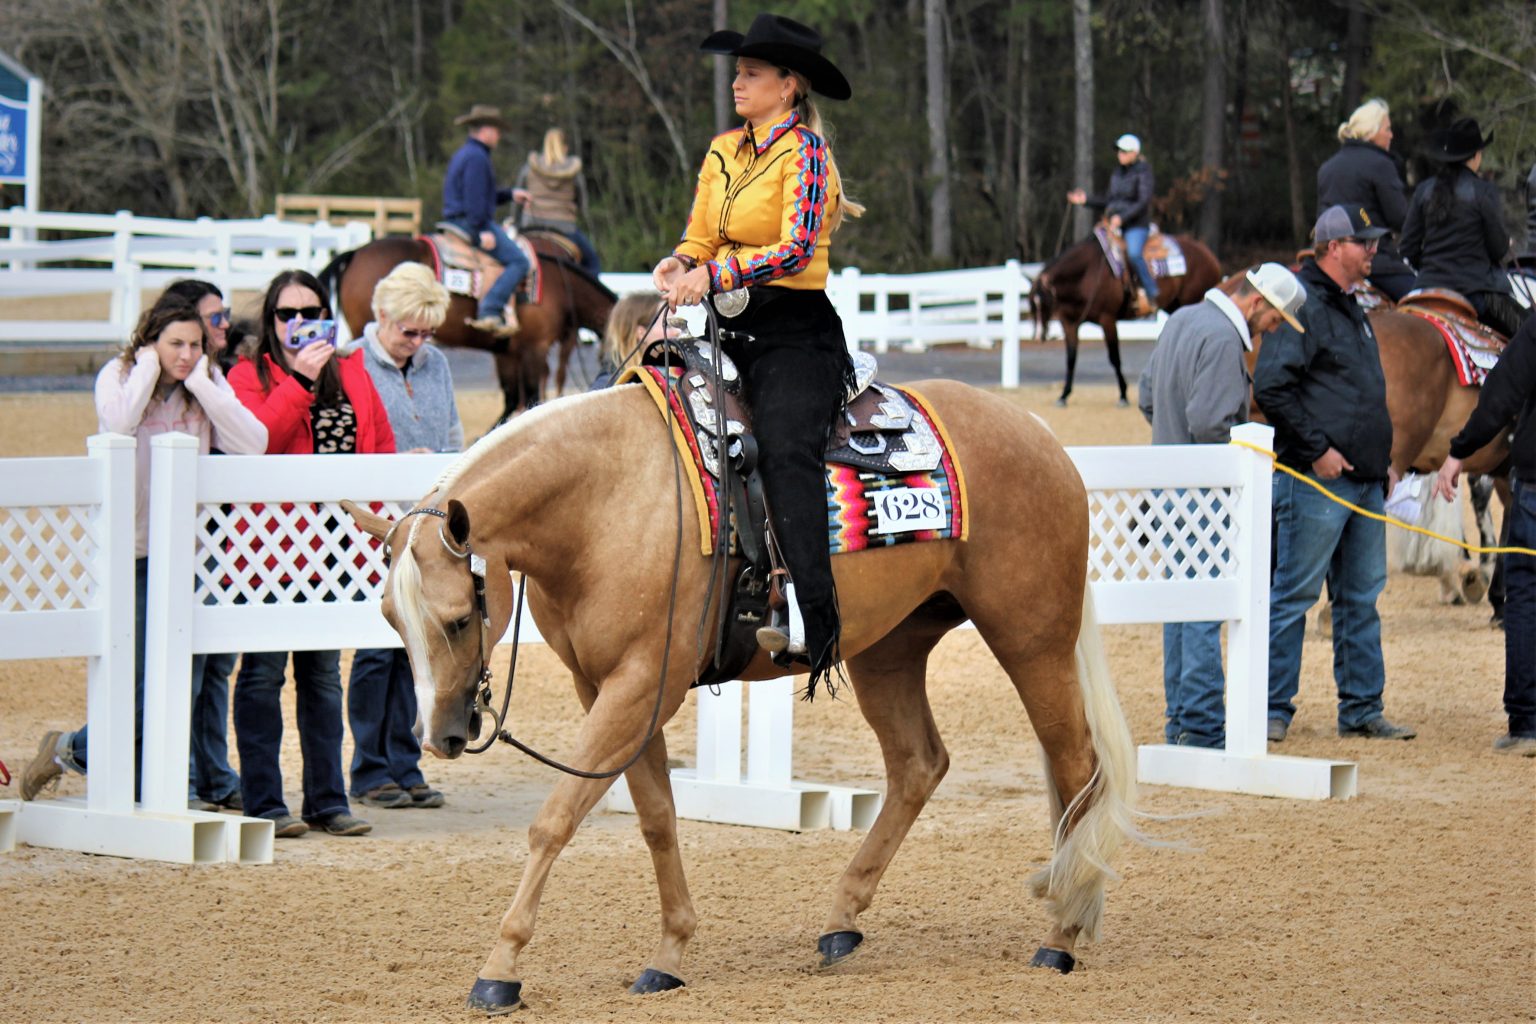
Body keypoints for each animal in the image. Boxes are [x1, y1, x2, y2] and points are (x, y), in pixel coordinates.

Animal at [317, 233, 611, 423]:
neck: (561, 288)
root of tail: (355, 254)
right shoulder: (534, 348)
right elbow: (530, 397)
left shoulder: (507, 353)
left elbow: (511, 398)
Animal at [1032, 234, 1222, 405]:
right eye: (1032, 304)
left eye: (1044, 302)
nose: (1039, 336)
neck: (1087, 274)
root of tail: (1208, 254)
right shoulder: (1069, 323)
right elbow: (1071, 358)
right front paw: (1064, 395)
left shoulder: (1107, 319)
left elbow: (1114, 357)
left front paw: (1123, 395)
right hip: (1174, 306)